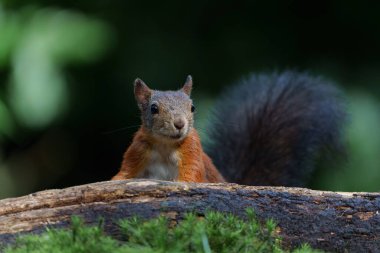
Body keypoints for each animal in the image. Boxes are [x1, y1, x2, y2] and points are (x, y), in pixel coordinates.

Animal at [111, 70, 346, 186]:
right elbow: (125, 174)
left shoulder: (192, 153)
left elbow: (191, 176)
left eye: (192, 107)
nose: (179, 124)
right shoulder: (138, 151)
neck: (164, 146)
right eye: (153, 109)